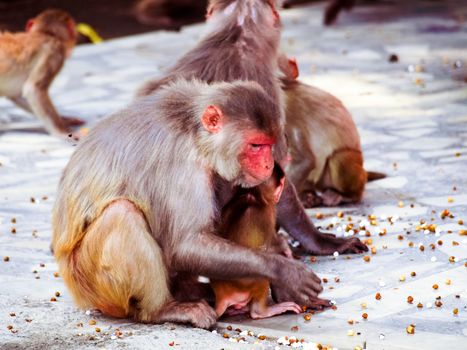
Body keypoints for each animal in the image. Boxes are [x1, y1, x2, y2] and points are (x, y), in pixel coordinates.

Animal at [0, 8, 83, 137]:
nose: (74, 37)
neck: (45, 33)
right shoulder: (55, 52)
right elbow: (33, 90)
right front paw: (63, 132)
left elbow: (16, 94)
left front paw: (65, 119)